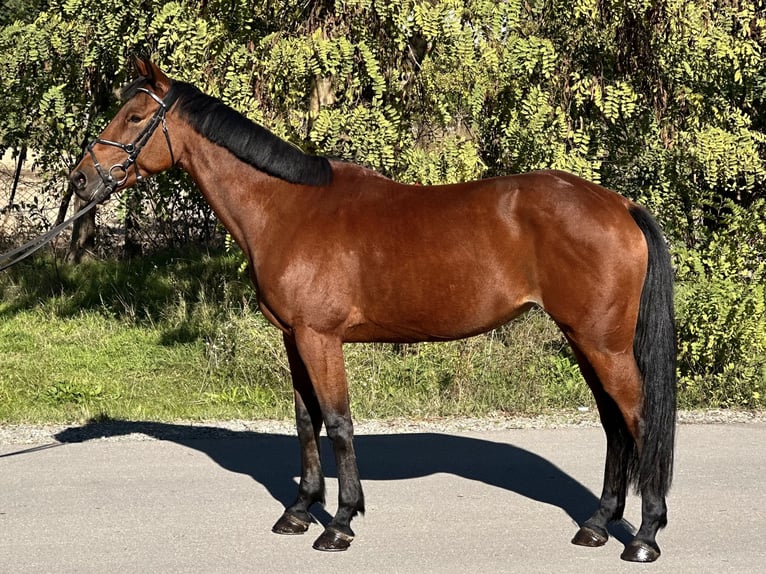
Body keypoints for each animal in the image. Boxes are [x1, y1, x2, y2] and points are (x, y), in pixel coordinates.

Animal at [69, 59, 676, 568]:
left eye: (136, 115)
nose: (80, 179)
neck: (287, 208)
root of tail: (620, 204)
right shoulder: (294, 338)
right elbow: (306, 422)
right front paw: (298, 511)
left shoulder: (320, 337)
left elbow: (338, 422)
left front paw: (339, 523)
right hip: (585, 340)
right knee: (614, 425)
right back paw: (596, 525)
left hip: (602, 343)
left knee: (641, 421)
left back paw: (644, 537)